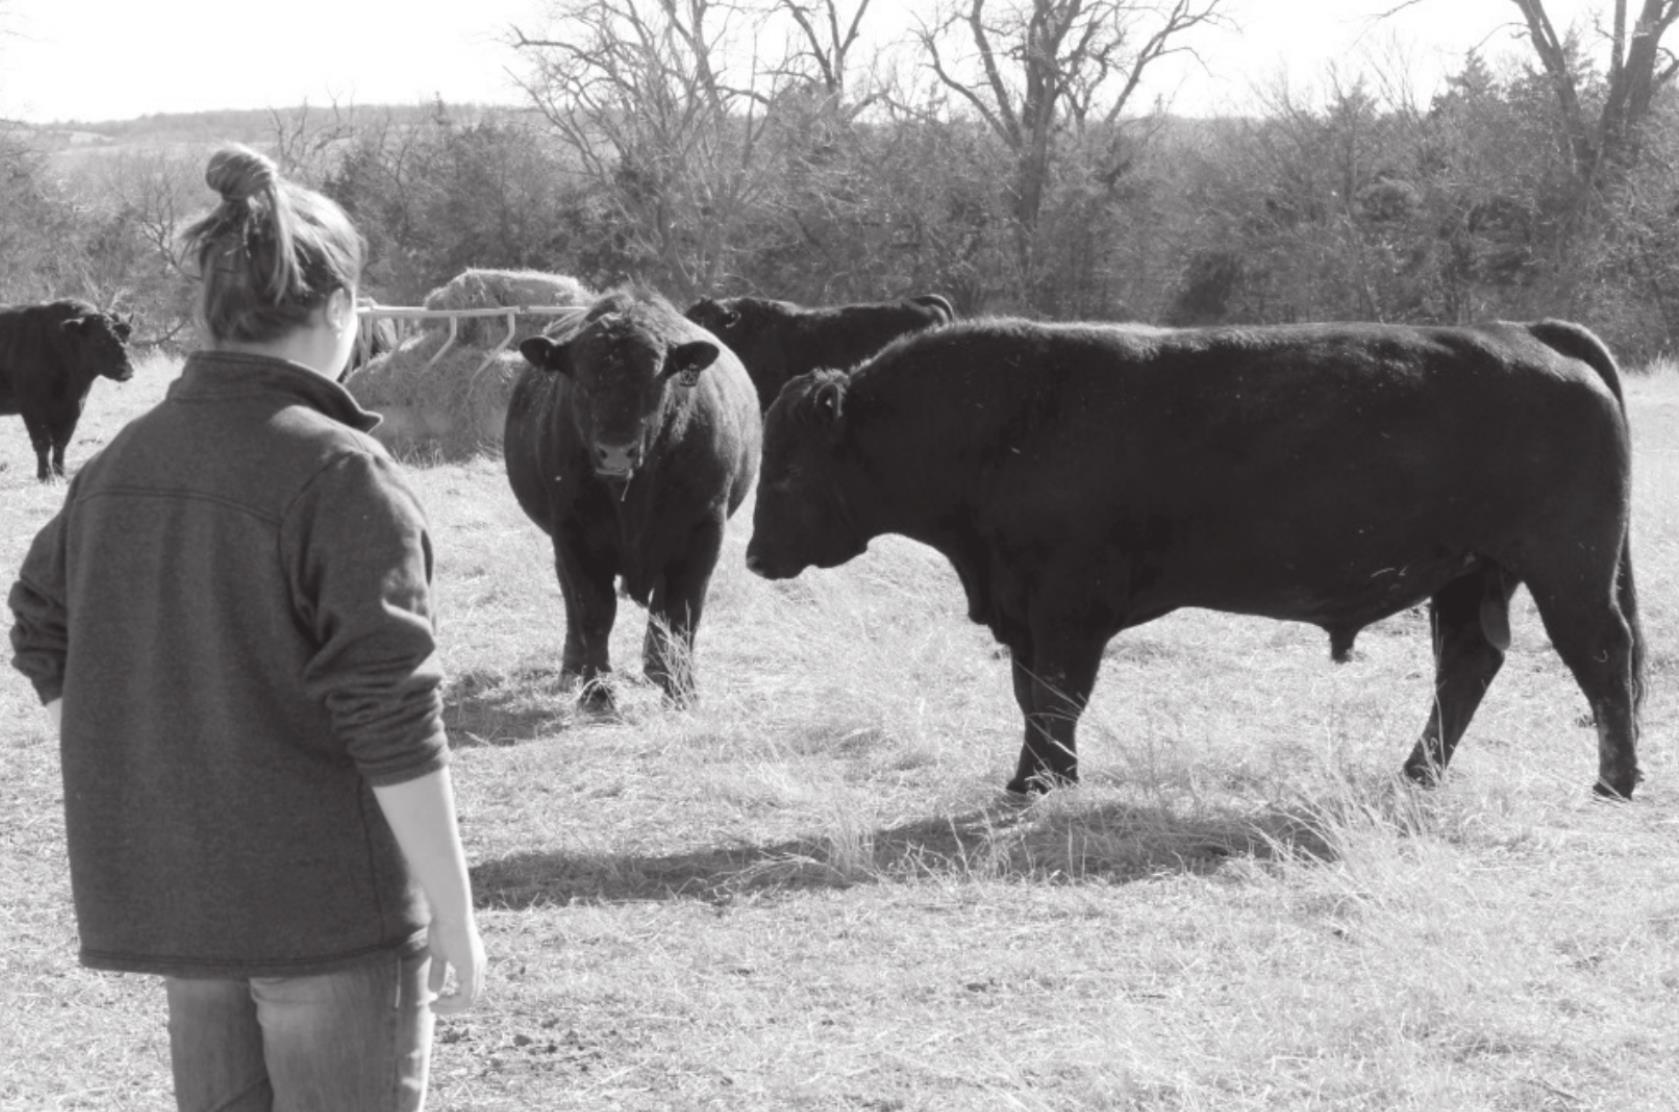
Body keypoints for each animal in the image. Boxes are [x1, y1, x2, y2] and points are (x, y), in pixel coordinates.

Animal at [0, 299, 135, 480]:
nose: (126, 369)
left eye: (126, 336)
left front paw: (60, 474)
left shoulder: (73, 408)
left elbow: (61, 443)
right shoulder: (32, 410)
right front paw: (45, 476)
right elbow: (42, 443)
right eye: (99, 339)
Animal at [504, 286, 761, 710]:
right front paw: (598, 693)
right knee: (572, 602)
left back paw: (657, 667)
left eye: (655, 382)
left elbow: (682, 611)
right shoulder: (573, 534)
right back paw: (572, 669)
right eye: (581, 381)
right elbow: (594, 611)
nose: (615, 453)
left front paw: (681, 690)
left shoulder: (703, 531)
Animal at [746, 317, 1644, 800]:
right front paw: (1033, 777)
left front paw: (1044, 782)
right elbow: (1032, 695)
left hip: (1563, 572)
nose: (753, 557)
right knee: (1467, 666)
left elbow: (1056, 695)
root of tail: (1525, 332)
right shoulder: (1026, 615)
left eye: (785, 471)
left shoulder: (1065, 610)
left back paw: (1613, 781)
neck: (1012, 418)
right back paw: (1414, 774)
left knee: (1602, 656)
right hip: (1467, 576)